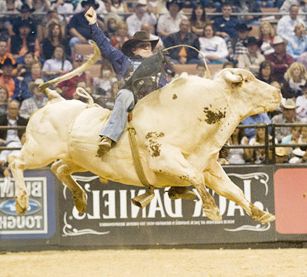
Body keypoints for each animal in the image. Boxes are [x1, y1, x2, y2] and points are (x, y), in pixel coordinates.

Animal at [9, 68, 282, 223]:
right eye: (247, 80)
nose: (278, 92)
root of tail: (54, 101)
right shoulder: (165, 159)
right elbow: (195, 178)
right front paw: (212, 210)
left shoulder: (210, 168)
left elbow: (233, 190)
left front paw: (260, 213)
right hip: (39, 150)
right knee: (15, 162)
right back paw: (21, 201)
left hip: (77, 159)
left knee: (59, 169)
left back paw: (79, 198)